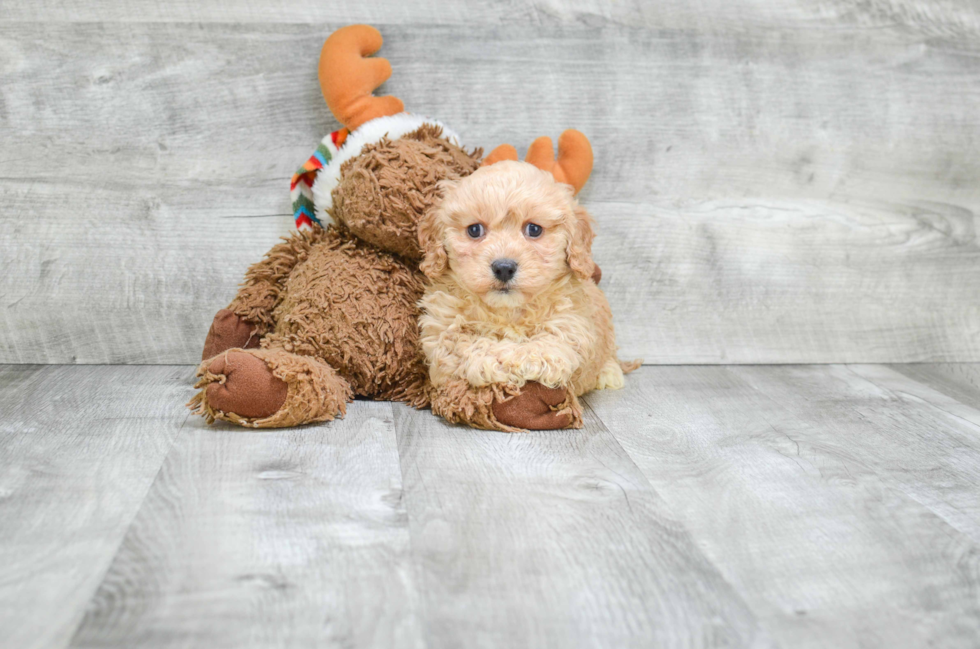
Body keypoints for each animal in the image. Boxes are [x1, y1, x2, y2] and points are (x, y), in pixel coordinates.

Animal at [416, 130, 636, 430]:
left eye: (533, 229)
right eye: (474, 230)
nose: (504, 268)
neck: (507, 312)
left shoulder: (571, 327)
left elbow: (541, 347)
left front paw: (510, 358)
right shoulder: (440, 331)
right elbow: (466, 343)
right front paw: (492, 360)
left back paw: (609, 373)